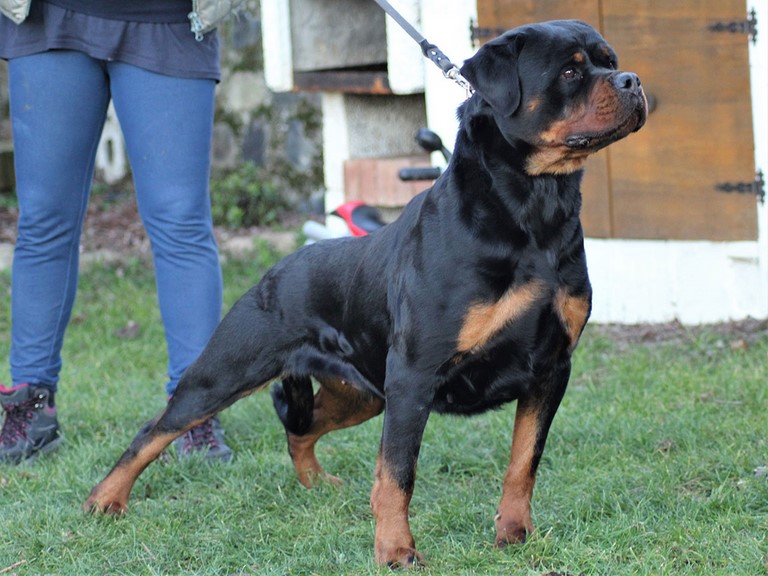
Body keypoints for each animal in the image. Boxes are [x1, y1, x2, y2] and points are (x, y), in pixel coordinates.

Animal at [87, 19, 644, 568]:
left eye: (610, 62)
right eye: (570, 71)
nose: (633, 81)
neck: (534, 211)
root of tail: (277, 267)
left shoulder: (550, 367)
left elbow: (524, 461)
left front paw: (514, 534)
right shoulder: (414, 375)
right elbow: (397, 474)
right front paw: (396, 551)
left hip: (360, 392)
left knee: (301, 427)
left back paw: (316, 484)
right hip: (228, 371)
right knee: (156, 429)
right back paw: (103, 501)